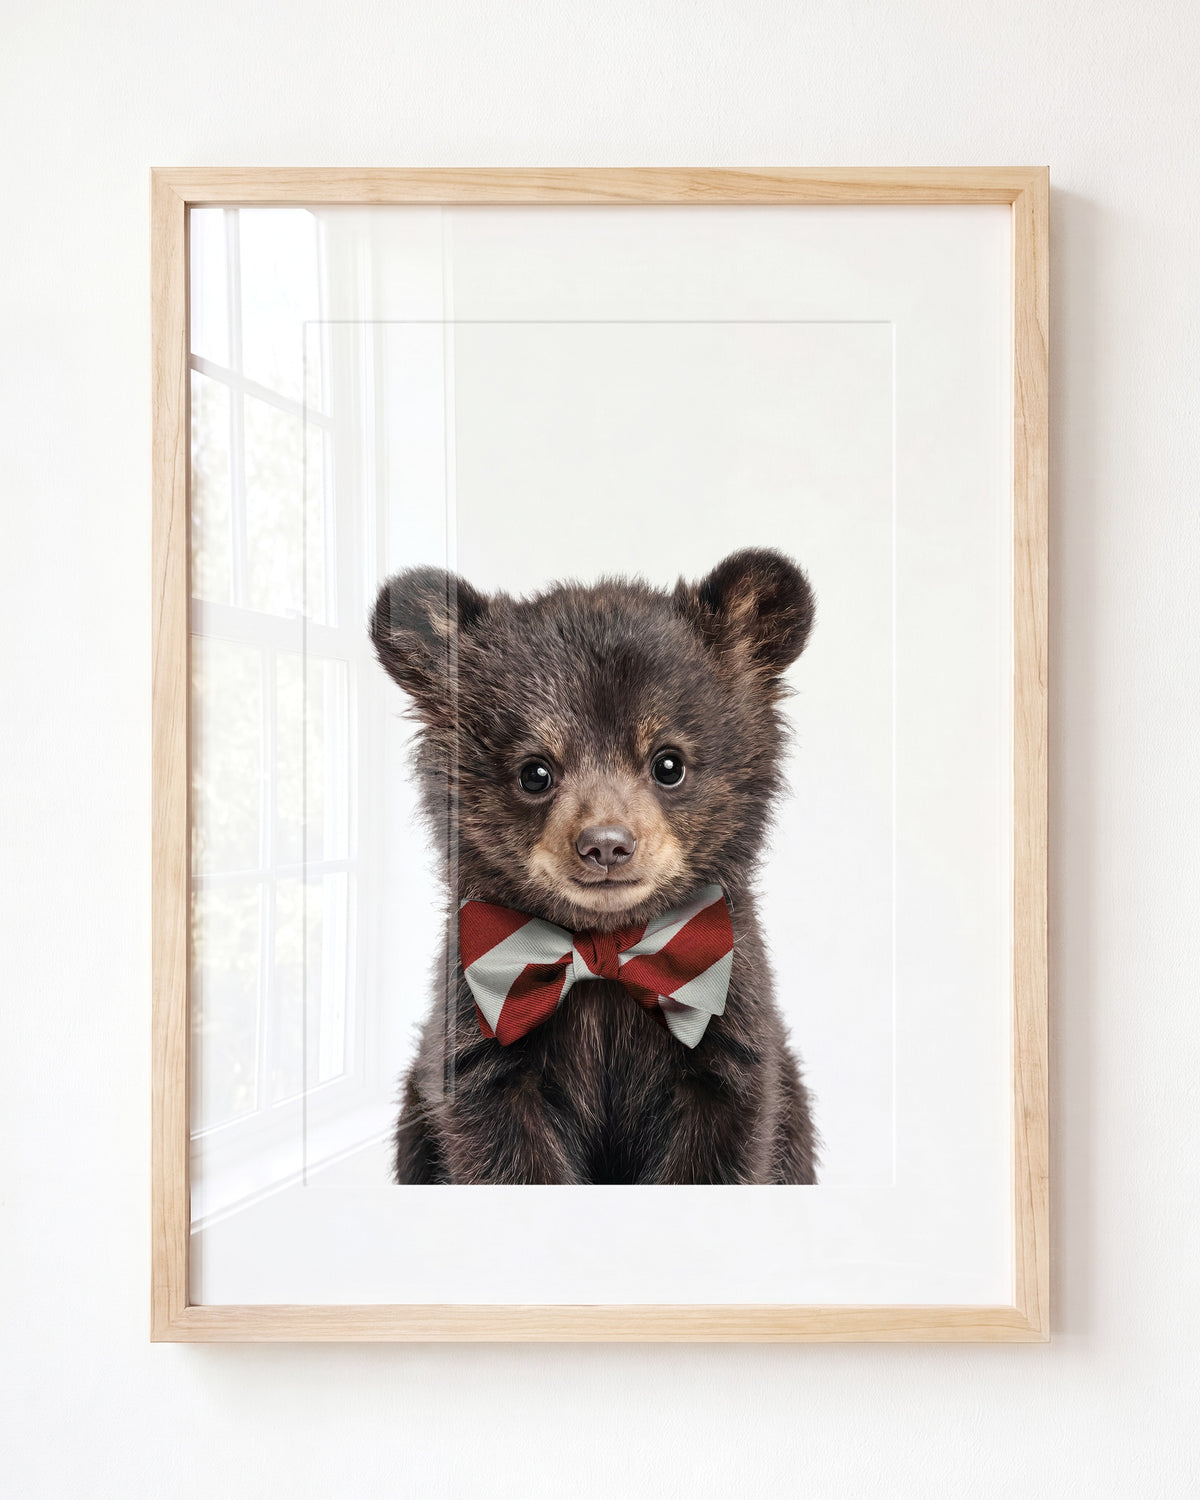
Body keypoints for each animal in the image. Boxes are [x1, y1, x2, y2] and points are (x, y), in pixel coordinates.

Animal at [369, 548, 820, 1185]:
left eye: (669, 763)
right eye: (535, 771)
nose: (606, 844)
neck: (605, 952)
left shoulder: (729, 1032)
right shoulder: (478, 1043)